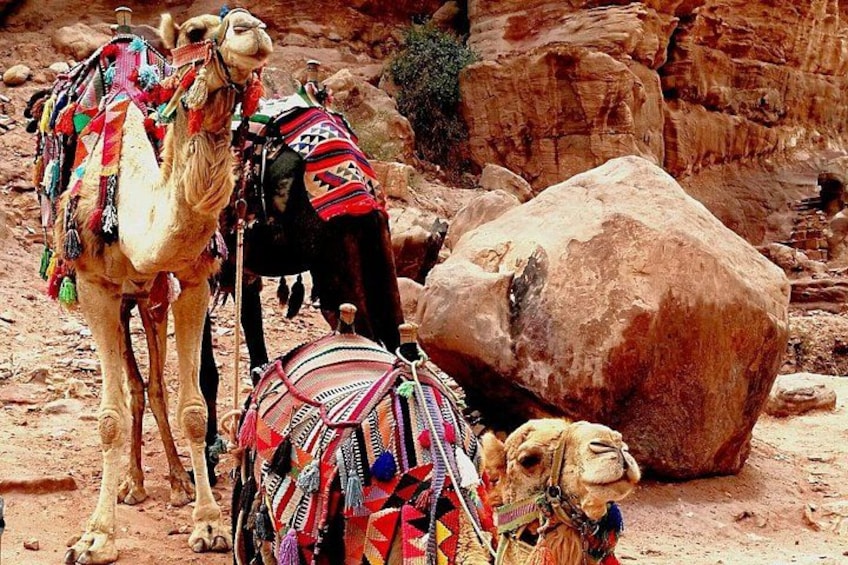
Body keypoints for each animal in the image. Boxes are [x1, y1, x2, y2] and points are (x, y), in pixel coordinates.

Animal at [44, 9, 272, 564]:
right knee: (132, 387)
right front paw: (96, 536)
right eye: (195, 31)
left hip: (148, 297)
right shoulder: (93, 288)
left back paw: (173, 481)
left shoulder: (188, 281)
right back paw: (133, 484)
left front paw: (208, 523)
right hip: (121, 298)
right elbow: (108, 415)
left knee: (151, 383)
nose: (250, 28)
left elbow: (193, 407)